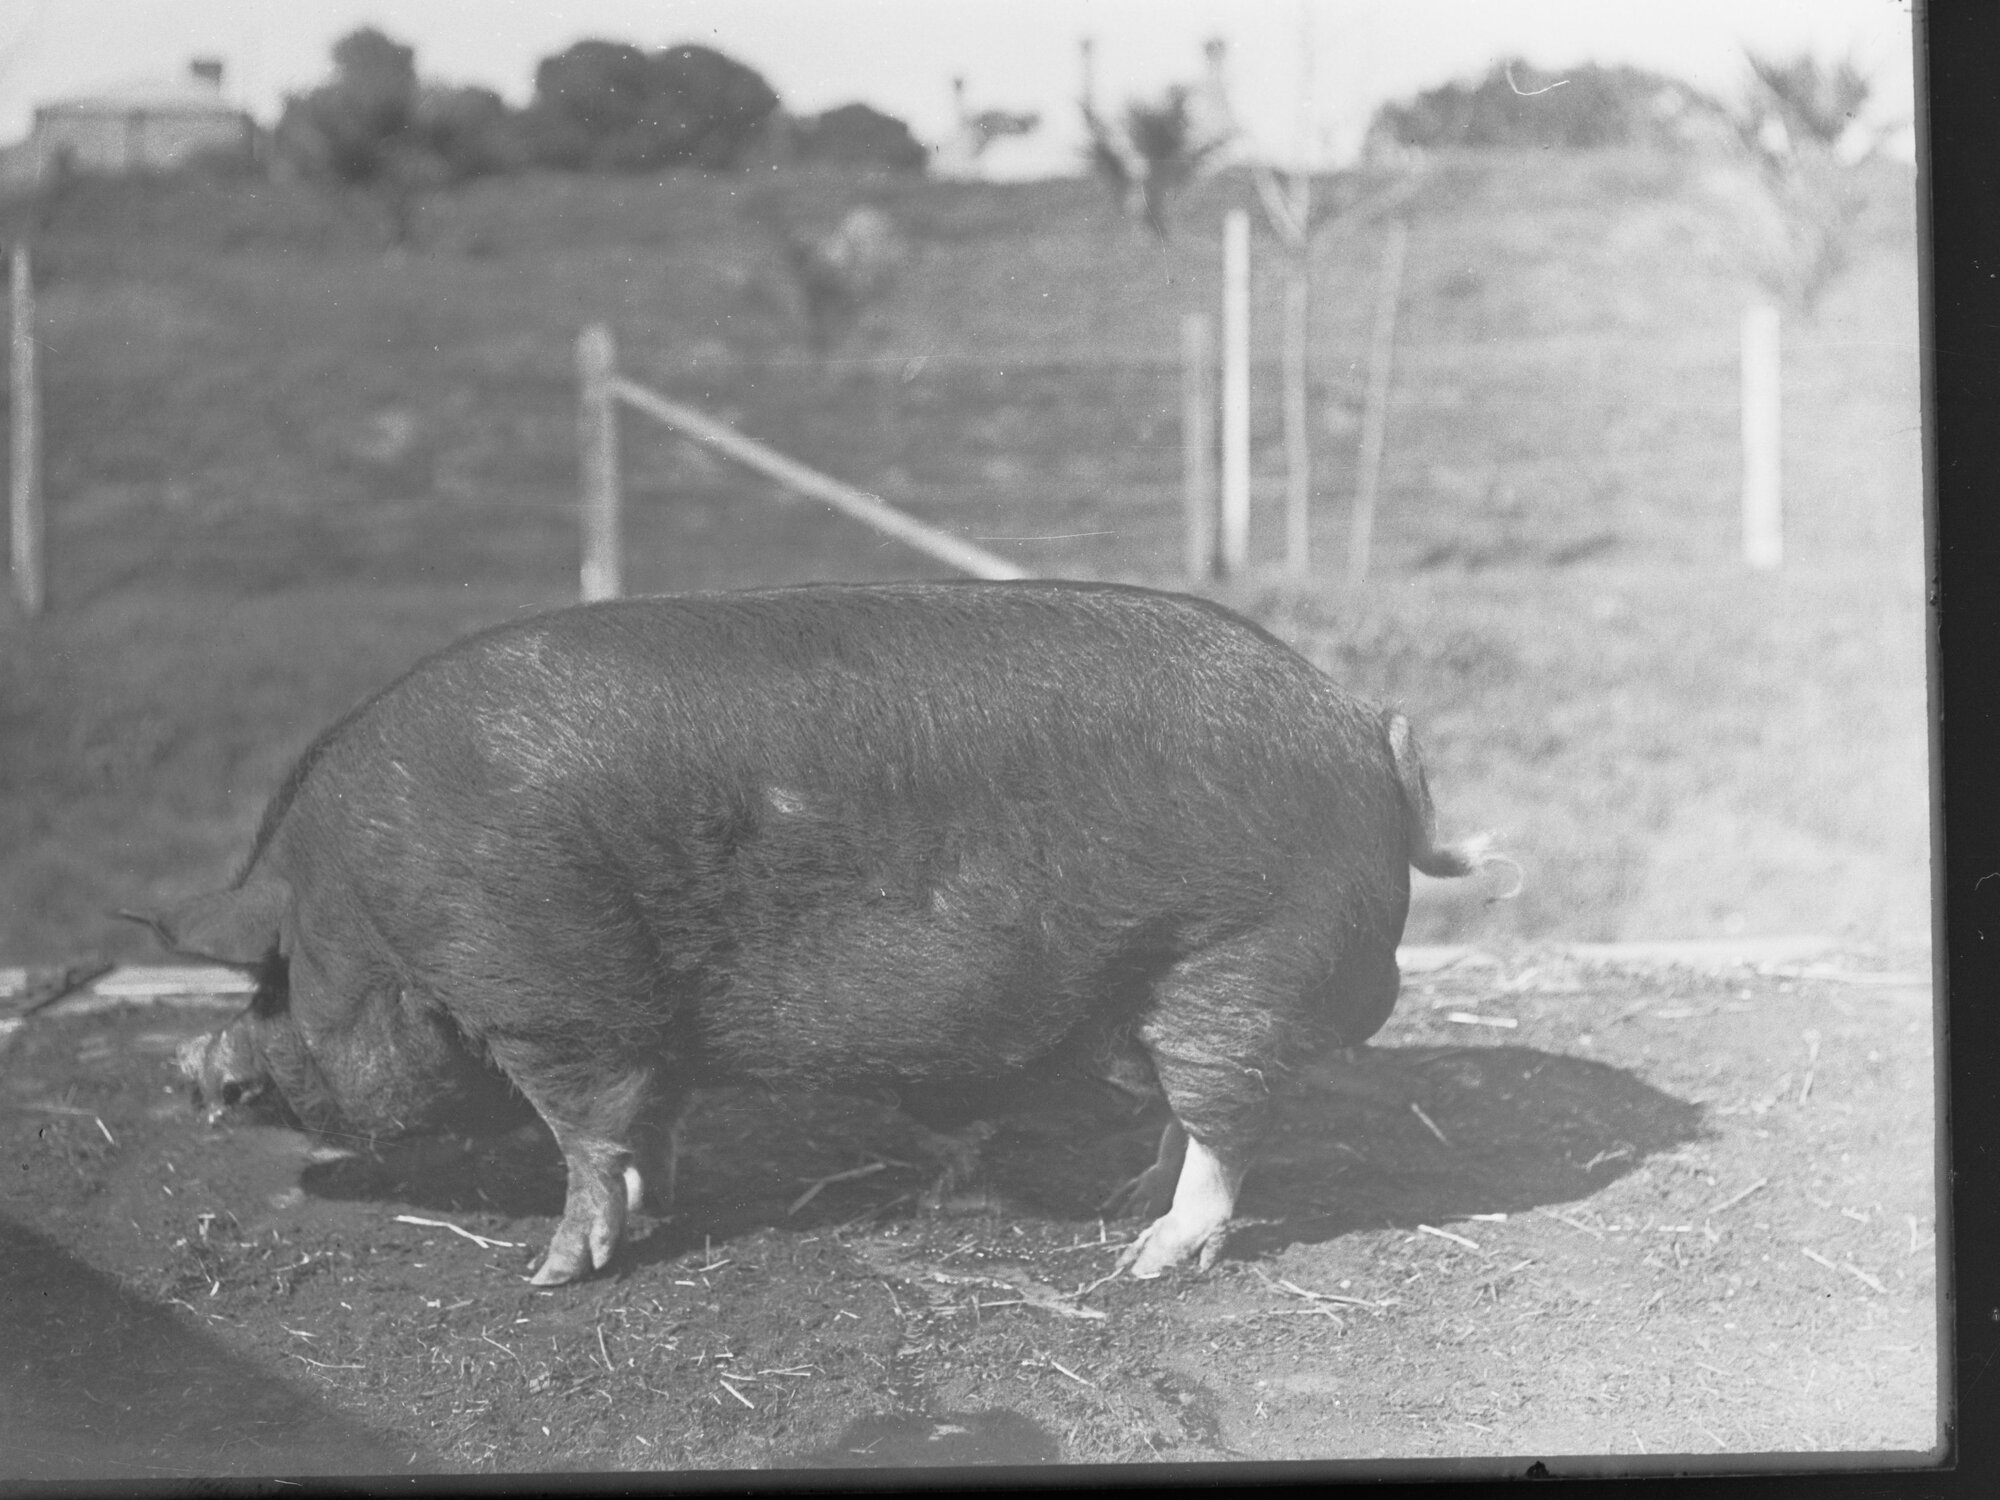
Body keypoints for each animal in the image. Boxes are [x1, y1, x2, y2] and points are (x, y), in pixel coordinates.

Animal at [131, 580, 1503, 1286]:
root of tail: (1363, 726)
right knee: (1186, 1105)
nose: (192, 1067)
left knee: (1227, 1117)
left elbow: (583, 1134)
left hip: (1238, 957)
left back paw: (1146, 1258)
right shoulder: (642, 1030)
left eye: (272, 979)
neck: (380, 918)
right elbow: (649, 1122)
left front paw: (554, 1274)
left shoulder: (548, 999)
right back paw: (1122, 1197)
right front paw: (655, 1214)